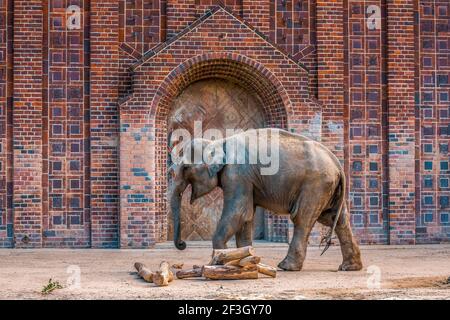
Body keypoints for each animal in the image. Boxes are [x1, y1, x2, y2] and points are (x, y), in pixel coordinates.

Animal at [168, 129, 362, 272]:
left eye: (185, 168)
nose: (182, 244)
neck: (219, 142)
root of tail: (337, 164)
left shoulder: (237, 174)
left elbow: (238, 212)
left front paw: (219, 260)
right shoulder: (244, 179)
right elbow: (246, 216)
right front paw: (245, 259)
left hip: (315, 185)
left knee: (303, 219)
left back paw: (286, 267)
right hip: (328, 188)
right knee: (335, 219)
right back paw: (349, 267)